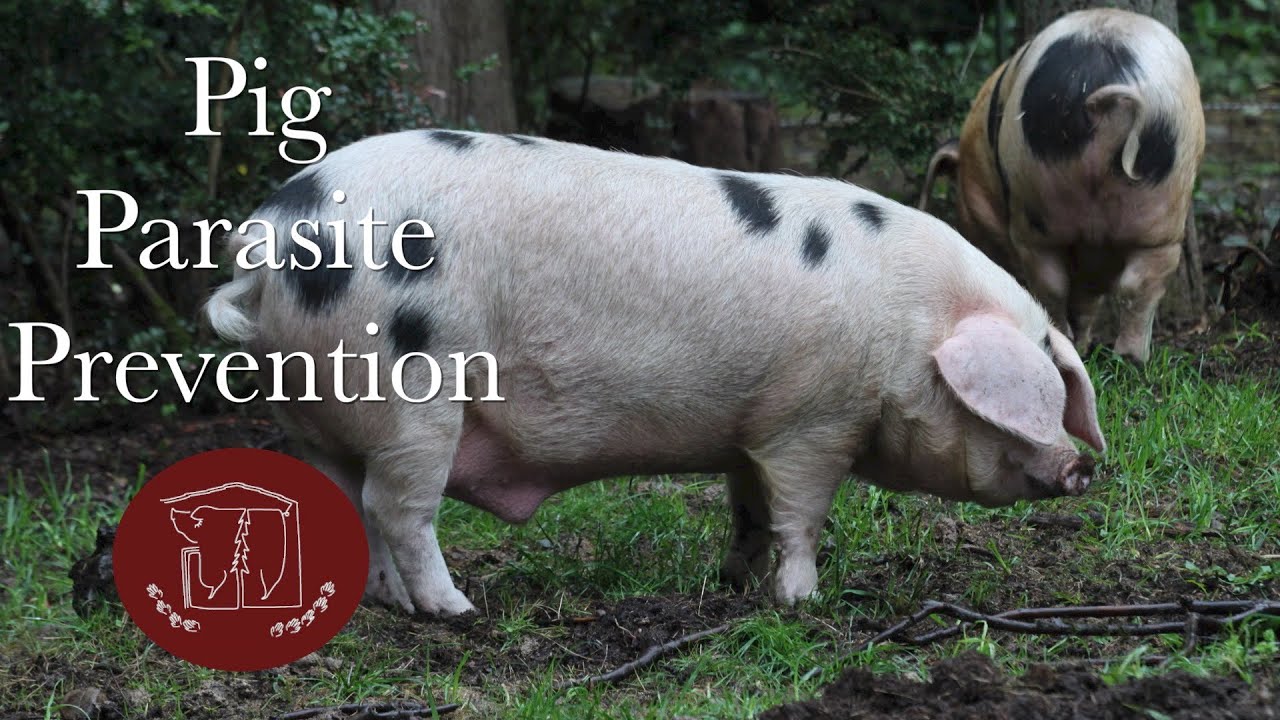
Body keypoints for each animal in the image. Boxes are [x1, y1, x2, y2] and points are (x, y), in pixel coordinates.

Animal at [206, 129, 1106, 617]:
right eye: (1029, 398)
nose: (1080, 471)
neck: (914, 331)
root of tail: (267, 237)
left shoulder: (751, 428)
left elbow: (749, 510)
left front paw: (733, 583)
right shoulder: (814, 420)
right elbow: (802, 514)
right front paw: (803, 600)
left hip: (313, 414)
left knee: (345, 499)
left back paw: (385, 602)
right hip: (411, 393)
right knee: (397, 508)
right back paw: (453, 610)